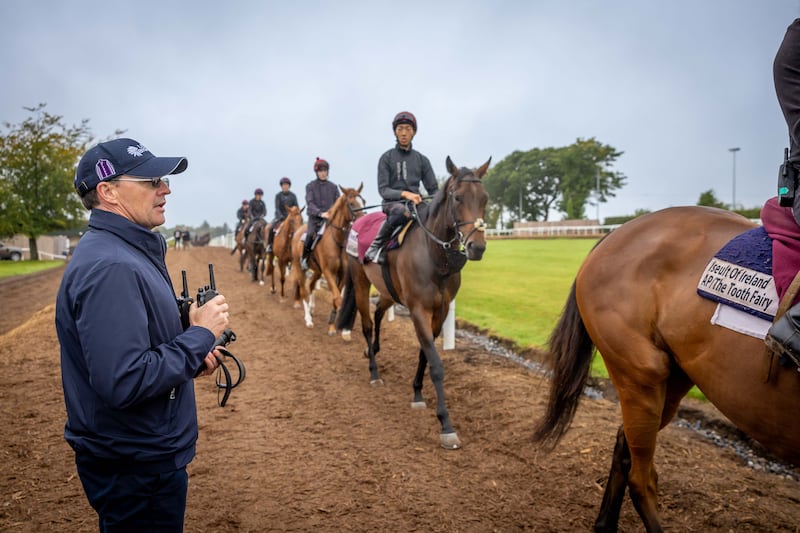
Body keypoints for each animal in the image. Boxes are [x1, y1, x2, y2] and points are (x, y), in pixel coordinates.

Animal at [290, 183, 366, 332]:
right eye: (351, 203)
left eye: (363, 202)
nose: (363, 220)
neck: (336, 240)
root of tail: (297, 232)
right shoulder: (328, 272)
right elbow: (337, 298)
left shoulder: (341, 274)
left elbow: (336, 297)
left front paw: (332, 324)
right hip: (299, 267)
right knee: (303, 290)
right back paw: (308, 319)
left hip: (317, 271)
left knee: (310, 285)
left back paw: (312, 310)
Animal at [332, 156, 494, 446]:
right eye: (458, 198)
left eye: (484, 198)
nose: (477, 247)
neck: (434, 258)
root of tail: (356, 223)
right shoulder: (418, 309)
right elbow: (436, 364)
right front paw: (446, 424)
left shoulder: (439, 311)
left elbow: (424, 354)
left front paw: (417, 394)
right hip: (361, 283)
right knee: (366, 324)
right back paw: (374, 372)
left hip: (388, 292)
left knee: (378, 314)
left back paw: (372, 350)